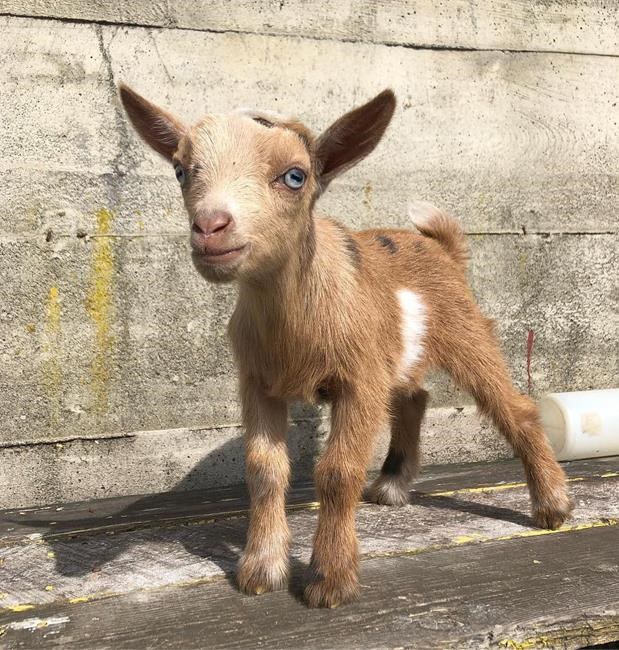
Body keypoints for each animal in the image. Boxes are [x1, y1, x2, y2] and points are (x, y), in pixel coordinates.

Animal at [119, 85, 573, 608]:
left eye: (295, 176)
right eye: (180, 170)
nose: (211, 227)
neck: (293, 321)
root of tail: (442, 247)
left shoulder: (358, 380)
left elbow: (338, 471)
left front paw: (330, 580)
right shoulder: (258, 383)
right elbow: (264, 468)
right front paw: (261, 569)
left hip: (466, 332)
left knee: (513, 408)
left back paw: (553, 505)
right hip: (394, 353)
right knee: (414, 397)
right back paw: (393, 484)